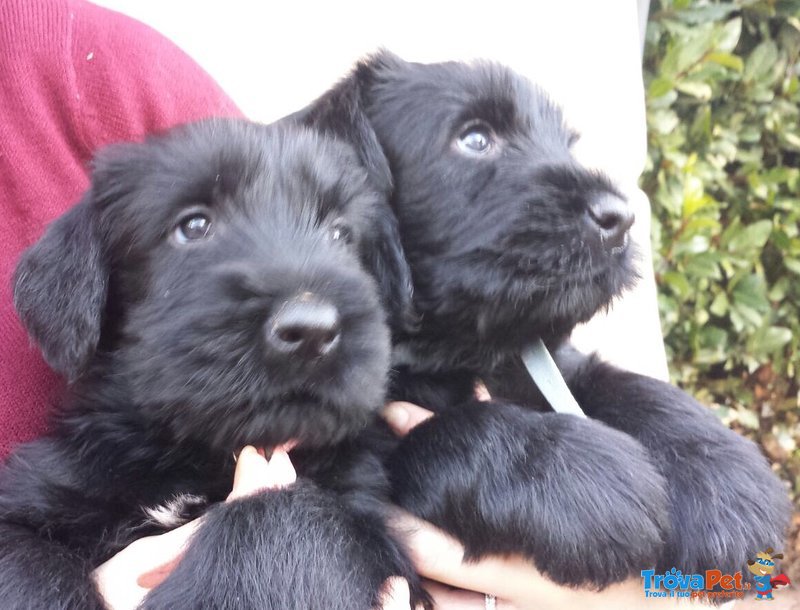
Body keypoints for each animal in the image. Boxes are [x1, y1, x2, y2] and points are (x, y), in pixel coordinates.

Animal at [0, 119, 422, 608]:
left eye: (341, 234)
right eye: (194, 225)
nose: (312, 330)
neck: (197, 454)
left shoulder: (368, 524)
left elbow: (287, 516)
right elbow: (26, 564)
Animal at [296, 54, 792, 588]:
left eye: (567, 145)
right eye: (475, 138)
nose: (621, 218)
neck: (454, 351)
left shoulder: (553, 367)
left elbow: (631, 388)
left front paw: (721, 477)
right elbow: (444, 434)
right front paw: (587, 478)